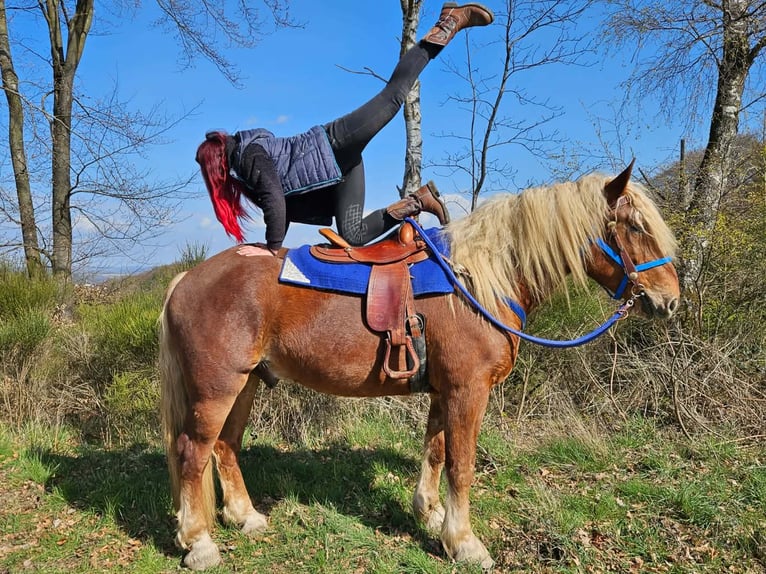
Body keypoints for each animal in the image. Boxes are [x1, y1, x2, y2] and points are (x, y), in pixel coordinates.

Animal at [159, 162, 680, 570]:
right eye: (634, 227)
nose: (670, 300)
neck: (478, 282)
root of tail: (186, 279)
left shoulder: (444, 390)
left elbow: (435, 451)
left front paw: (431, 515)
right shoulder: (468, 390)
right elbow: (462, 464)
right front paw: (465, 542)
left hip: (244, 385)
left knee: (225, 447)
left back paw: (245, 518)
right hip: (216, 389)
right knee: (192, 453)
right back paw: (199, 543)